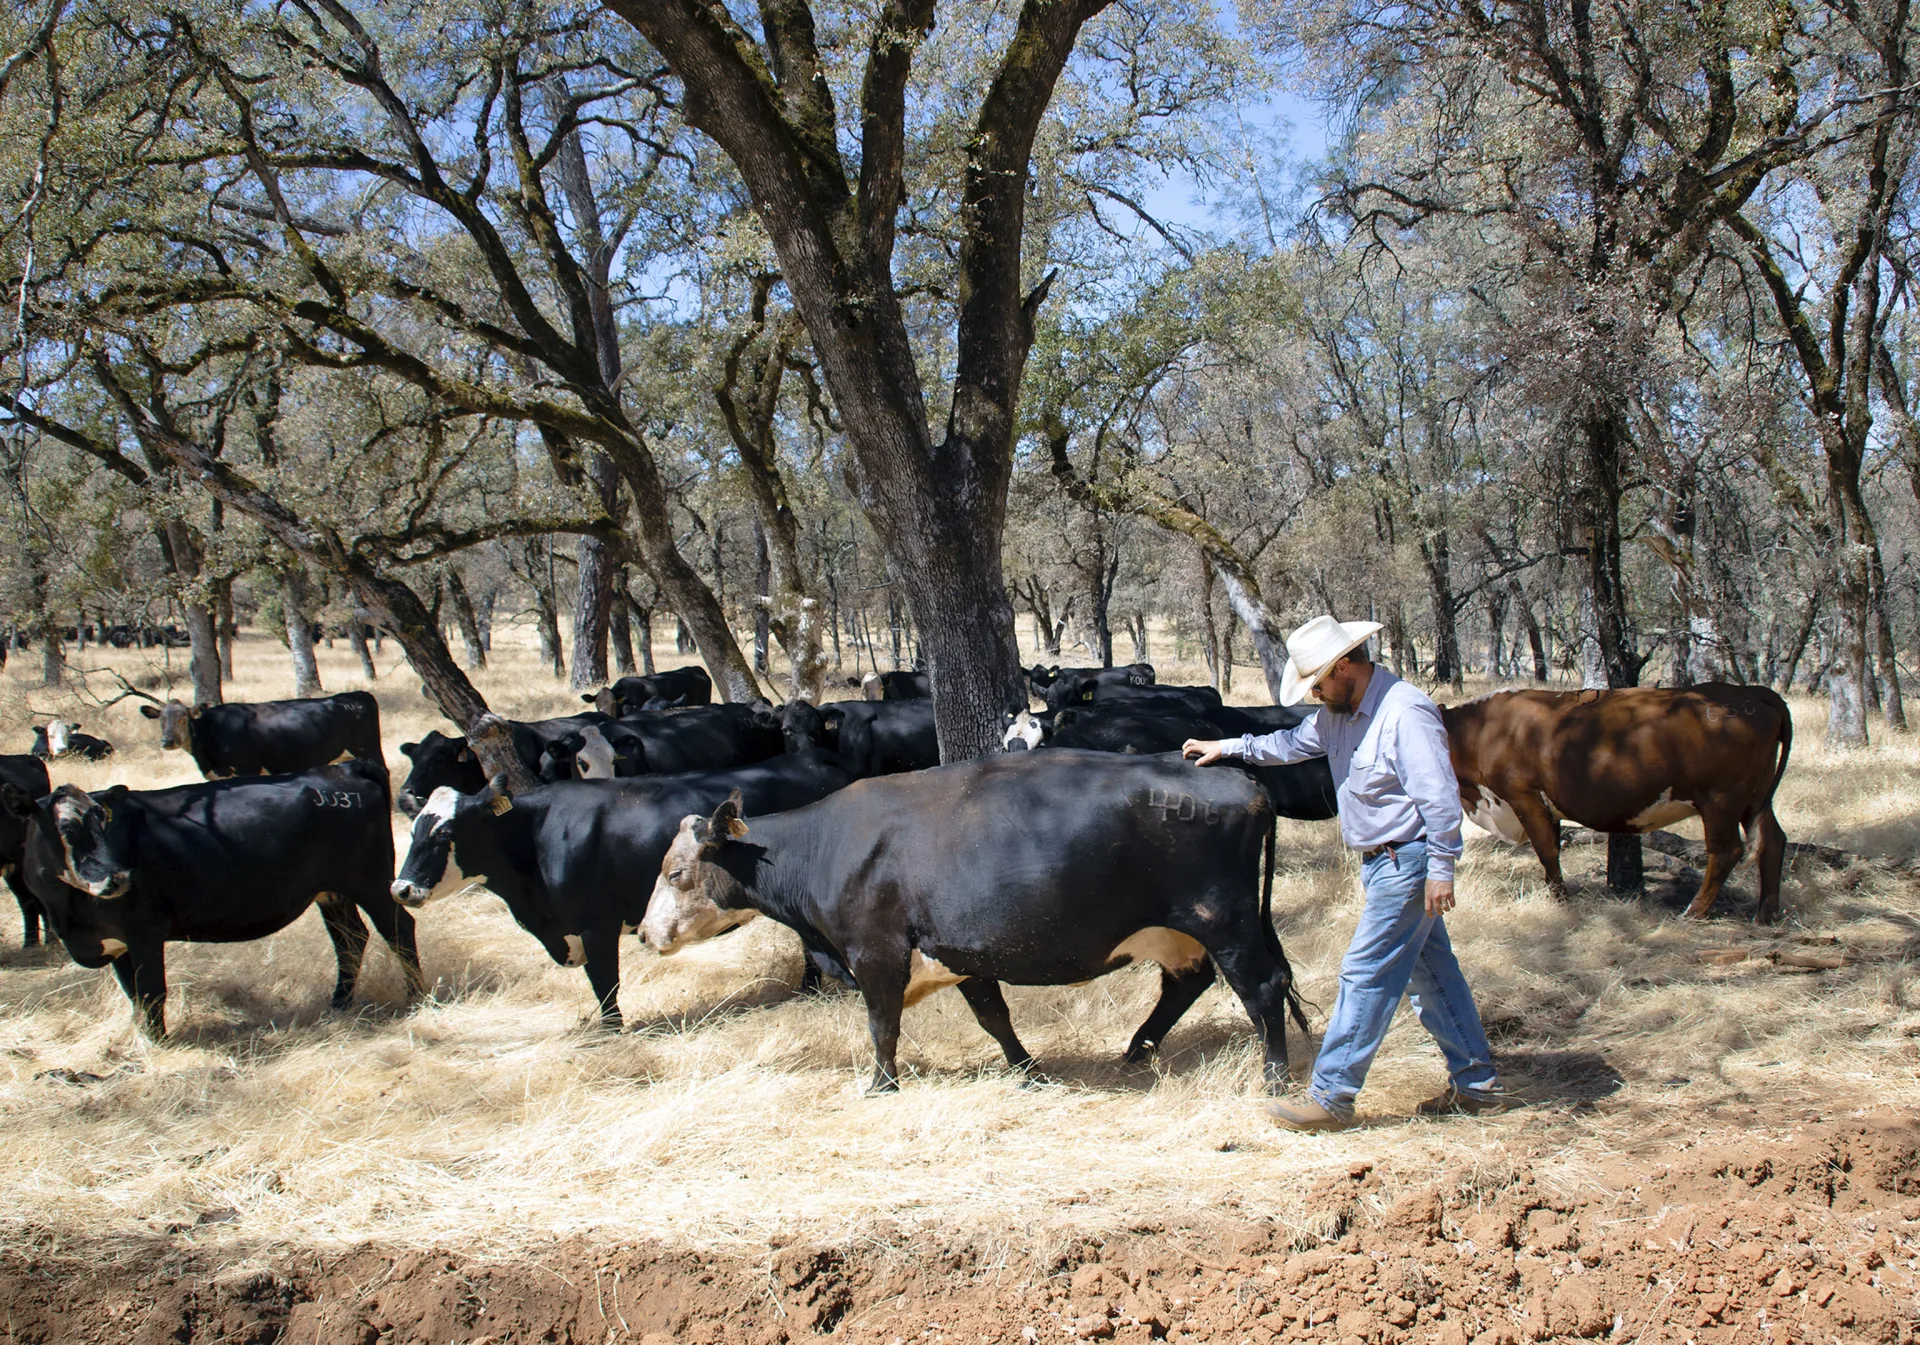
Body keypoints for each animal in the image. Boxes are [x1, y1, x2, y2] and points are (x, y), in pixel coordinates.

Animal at [139, 692, 380, 778]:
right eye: (161, 719)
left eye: (183, 718)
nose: (167, 741)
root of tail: (356, 695)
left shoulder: (247, 770)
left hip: (369, 751)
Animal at [390, 751, 854, 1026]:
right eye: (413, 831)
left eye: (446, 832)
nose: (402, 888)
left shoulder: (597, 925)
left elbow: (604, 982)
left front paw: (613, 1031)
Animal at [640, 751, 1307, 1092]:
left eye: (675, 872)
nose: (645, 934)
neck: (824, 846)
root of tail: (1232, 775)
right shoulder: (963, 955)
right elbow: (994, 1019)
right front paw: (1027, 1069)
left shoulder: (876, 953)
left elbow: (882, 1025)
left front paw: (881, 1085)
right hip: (1181, 931)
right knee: (1187, 984)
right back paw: (1135, 1051)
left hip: (1224, 920)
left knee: (1262, 987)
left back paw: (1274, 1077)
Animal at [1442, 684, 1793, 920]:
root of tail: (1747, 691)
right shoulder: (1547, 807)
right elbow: (1553, 850)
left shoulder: (1524, 797)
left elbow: (1547, 850)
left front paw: (1560, 901)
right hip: (1755, 799)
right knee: (1773, 841)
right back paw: (1766, 914)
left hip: (1721, 800)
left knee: (1726, 851)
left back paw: (1695, 911)